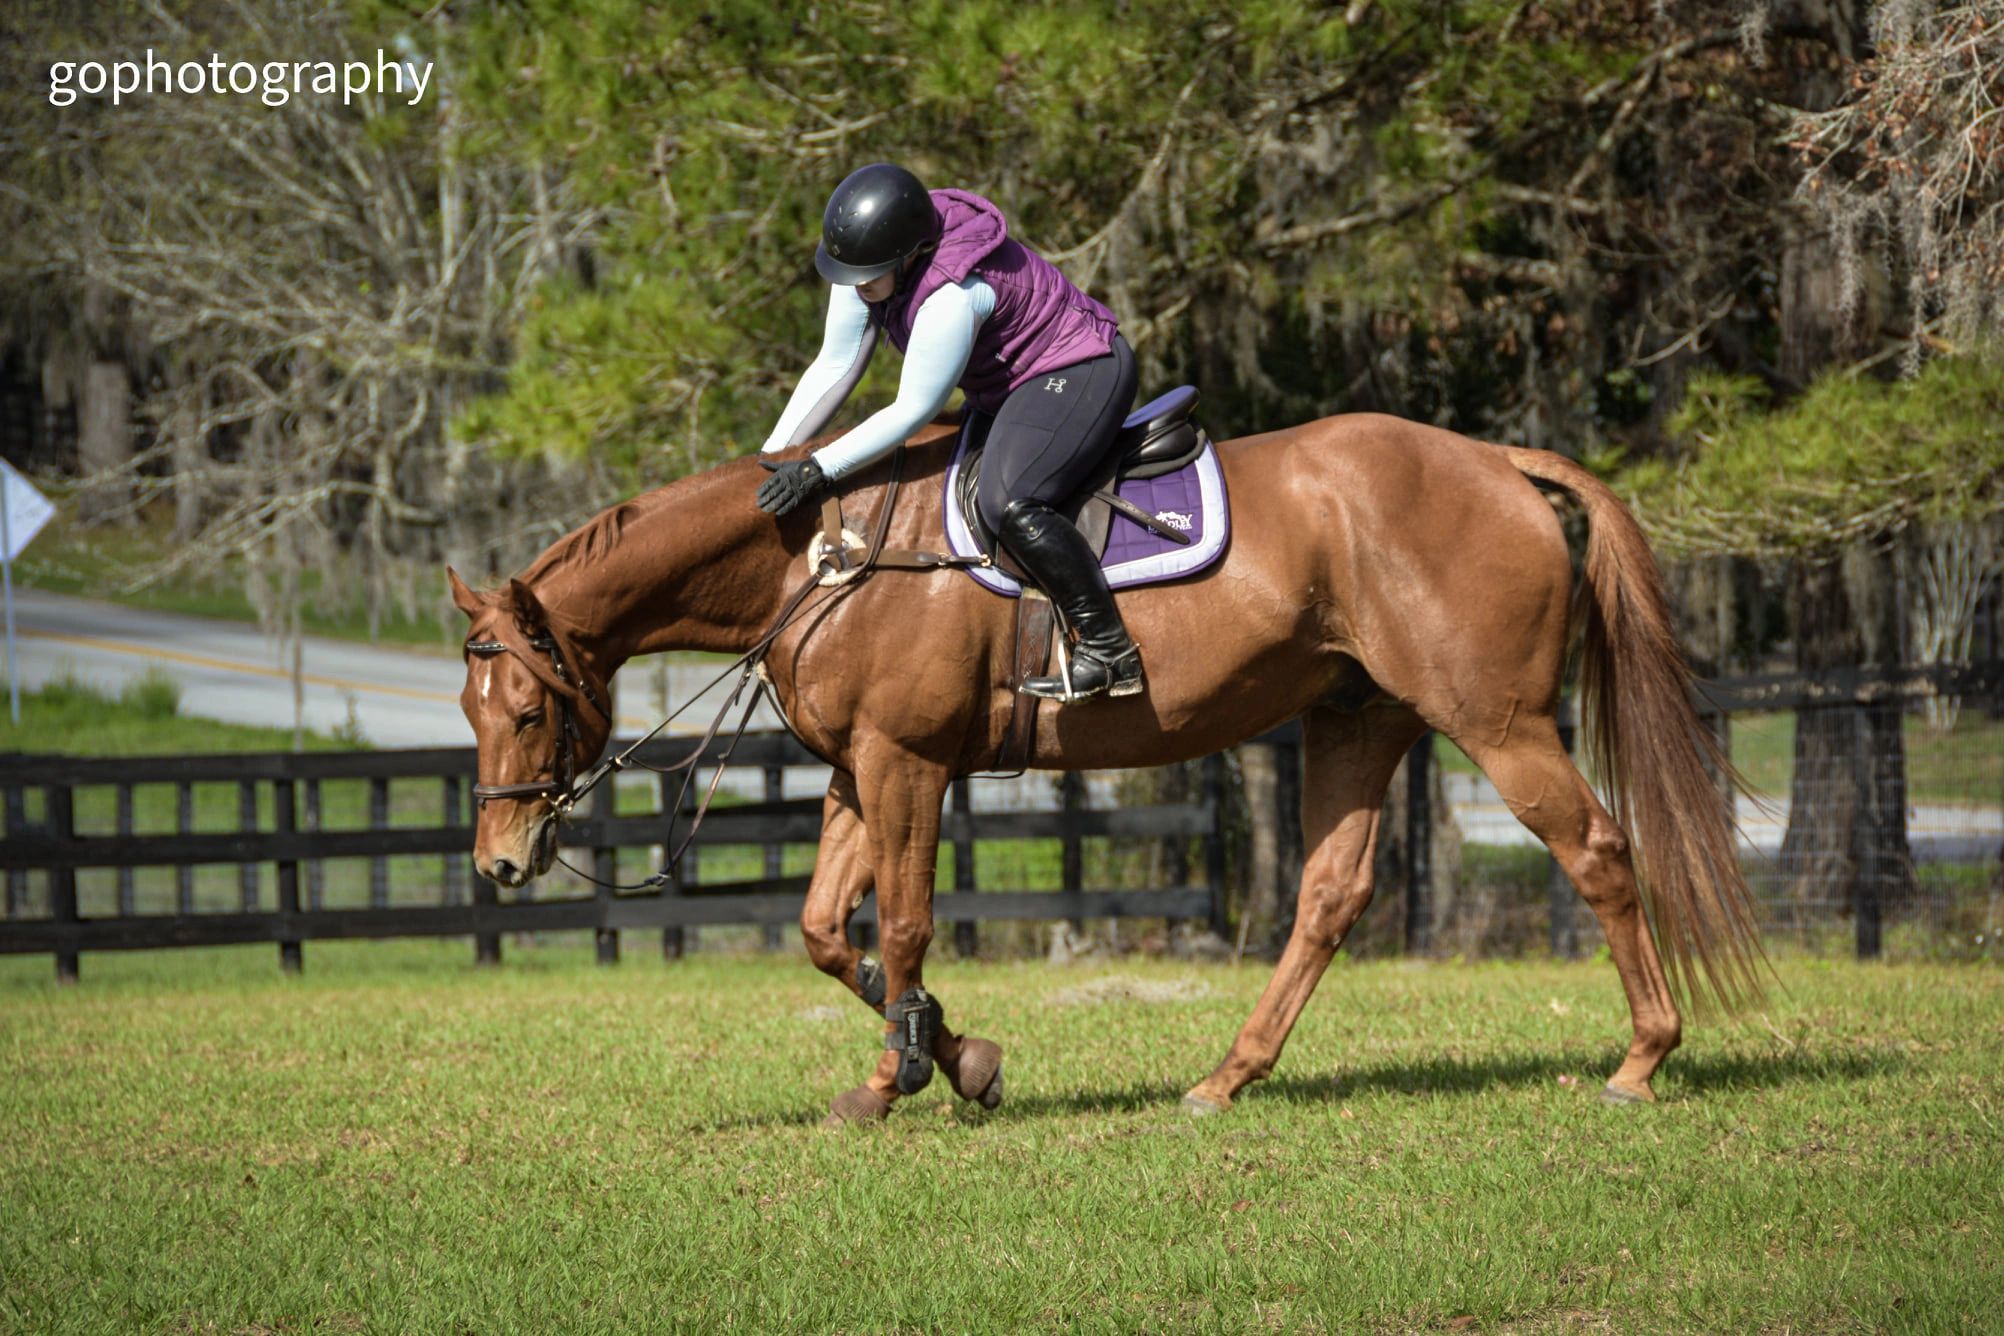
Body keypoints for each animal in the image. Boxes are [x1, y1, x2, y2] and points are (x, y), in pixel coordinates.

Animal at [448, 410, 1766, 1124]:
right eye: (469, 705)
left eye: (528, 703)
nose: (502, 863)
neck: (822, 553)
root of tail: (1496, 459)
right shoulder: (856, 772)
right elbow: (829, 931)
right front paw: (946, 1059)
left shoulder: (908, 764)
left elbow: (907, 925)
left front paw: (919, 1070)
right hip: (1361, 719)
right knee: (1329, 896)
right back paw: (1226, 1079)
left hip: (1495, 721)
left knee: (1597, 850)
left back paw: (1641, 1061)